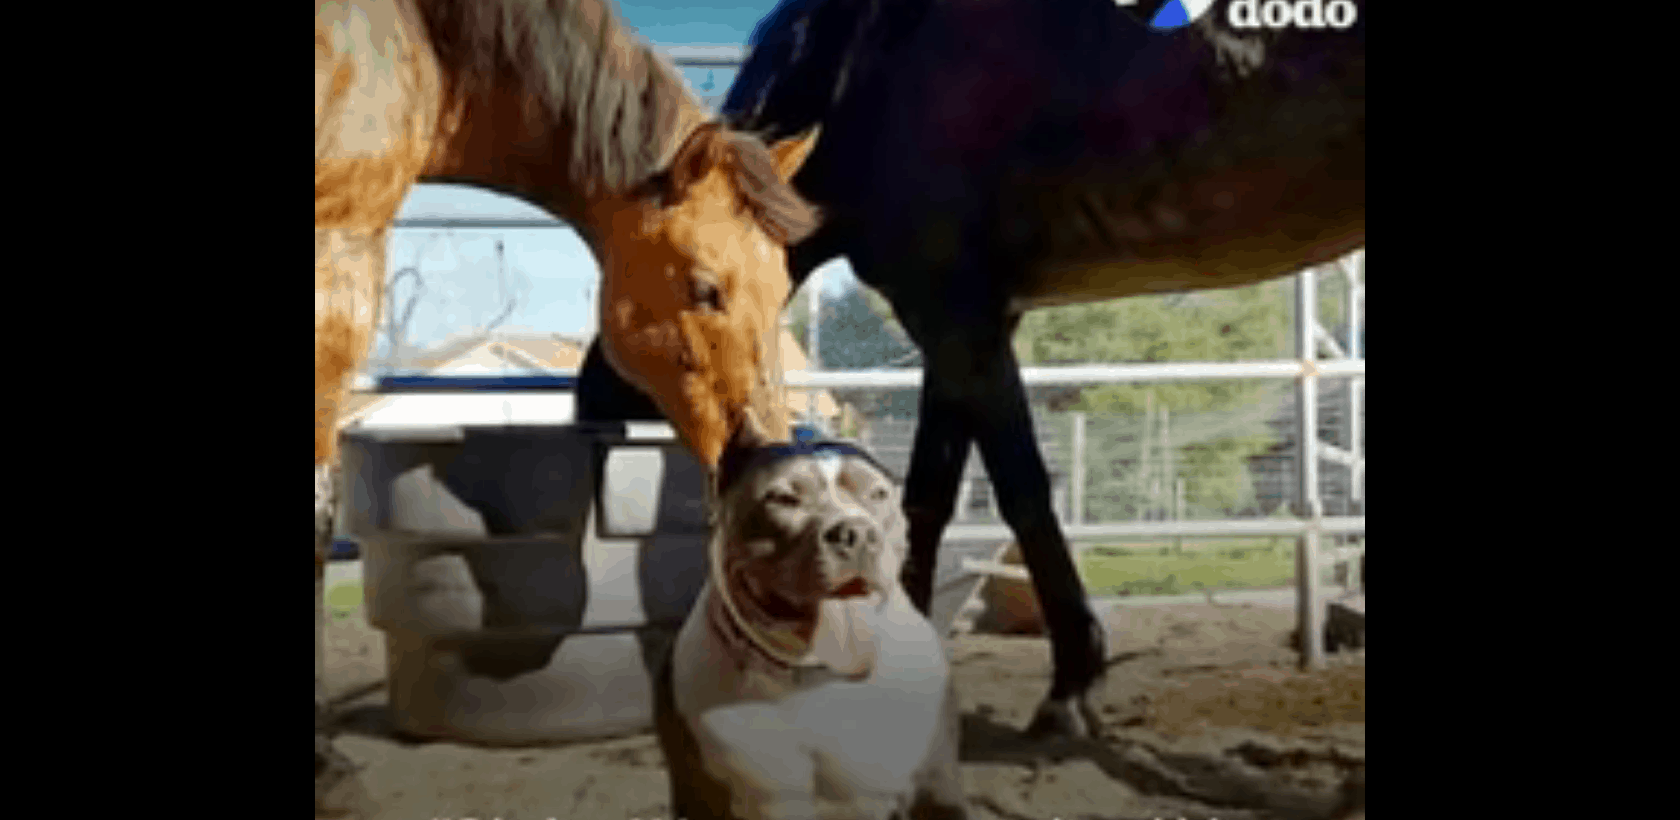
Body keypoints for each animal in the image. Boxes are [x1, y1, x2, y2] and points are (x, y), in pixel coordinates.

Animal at [577, 0, 1365, 741]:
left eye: (705, 290)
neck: (873, 72)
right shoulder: (966, 320)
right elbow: (924, 495)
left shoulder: (957, 314)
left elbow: (1018, 489)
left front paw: (1071, 688)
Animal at [654, 441, 968, 820]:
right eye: (783, 498)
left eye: (878, 493)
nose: (857, 532)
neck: (817, 676)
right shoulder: (707, 797)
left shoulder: (937, 788)